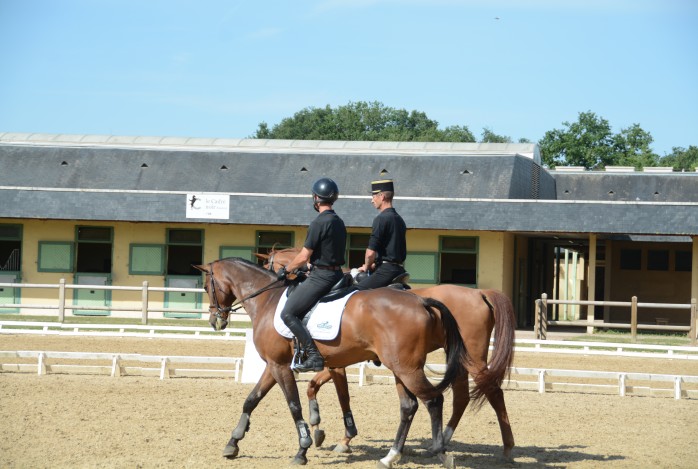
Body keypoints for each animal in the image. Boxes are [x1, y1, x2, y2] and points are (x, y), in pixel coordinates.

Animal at [193, 258, 470, 466]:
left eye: (207, 287)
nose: (215, 321)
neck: (267, 300)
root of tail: (421, 300)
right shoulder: (274, 365)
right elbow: (252, 399)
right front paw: (232, 443)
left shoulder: (281, 366)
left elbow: (294, 406)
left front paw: (303, 449)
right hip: (400, 368)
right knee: (409, 406)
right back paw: (390, 456)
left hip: (407, 368)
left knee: (434, 400)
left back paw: (440, 452)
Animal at [256, 247, 516, 458]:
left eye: (269, 266)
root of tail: (479, 293)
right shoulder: (337, 362)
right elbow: (318, 387)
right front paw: (323, 430)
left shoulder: (336, 362)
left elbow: (338, 394)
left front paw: (339, 437)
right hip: (458, 358)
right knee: (461, 396)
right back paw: (442, 441)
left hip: (470, 358)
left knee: (492, 391)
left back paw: (507, 448)